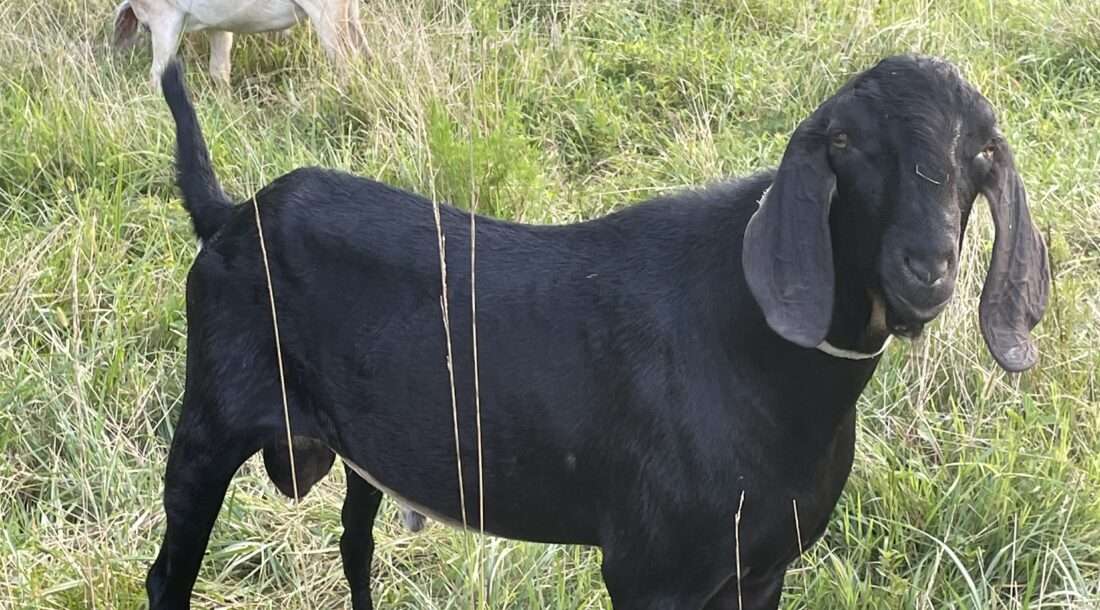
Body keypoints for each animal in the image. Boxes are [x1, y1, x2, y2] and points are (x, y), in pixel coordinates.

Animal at [113, 0, 368, 85]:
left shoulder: (164, 18)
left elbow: (157, 74)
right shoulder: (217, 25)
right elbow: (219, 71)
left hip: (326, 12)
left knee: (346, 61)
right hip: (349, 12)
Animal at [145, 56, 1049, 610]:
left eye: (982, 152)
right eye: (844, 142)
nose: (925, 266)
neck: (763, 361)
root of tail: (230, 215)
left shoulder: (763, 567)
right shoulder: (652, 571)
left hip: (366, 449)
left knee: (354, 547)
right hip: (211, 421)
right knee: (167, 574)